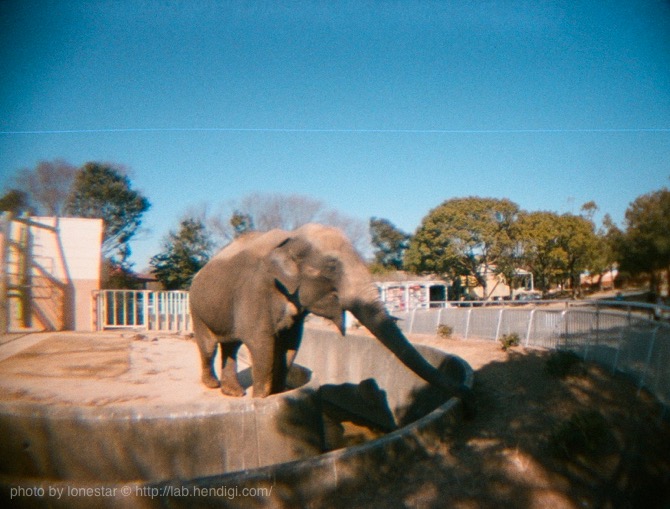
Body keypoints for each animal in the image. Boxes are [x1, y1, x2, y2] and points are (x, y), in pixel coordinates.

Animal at [186, 224, 476, 414]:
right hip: (196, 307)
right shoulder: (256, 293)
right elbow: (263, 346)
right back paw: (213, 385)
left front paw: (277, 393)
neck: (292, 237)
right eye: (332, 267)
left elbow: (290, 346)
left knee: (230, 346)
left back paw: (232, 392)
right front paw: (260, 399)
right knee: (209, 346)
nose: (470, 396)